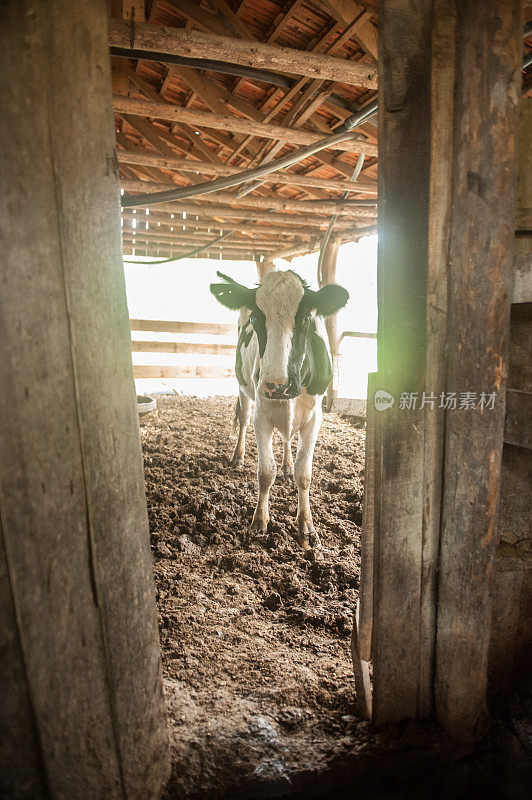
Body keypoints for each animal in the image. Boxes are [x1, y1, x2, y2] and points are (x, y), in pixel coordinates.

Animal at [210, 268, 352, 552]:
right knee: (243, 420)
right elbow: (265, 473)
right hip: (243, 390)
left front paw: (306, 527)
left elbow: (304, 473)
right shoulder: (262, 415)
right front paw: (259, 522)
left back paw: (287, 464)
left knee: (288, 439)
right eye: (255, 318)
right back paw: (238, 456)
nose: (277, 384)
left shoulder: (315, 418)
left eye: (307, 318)